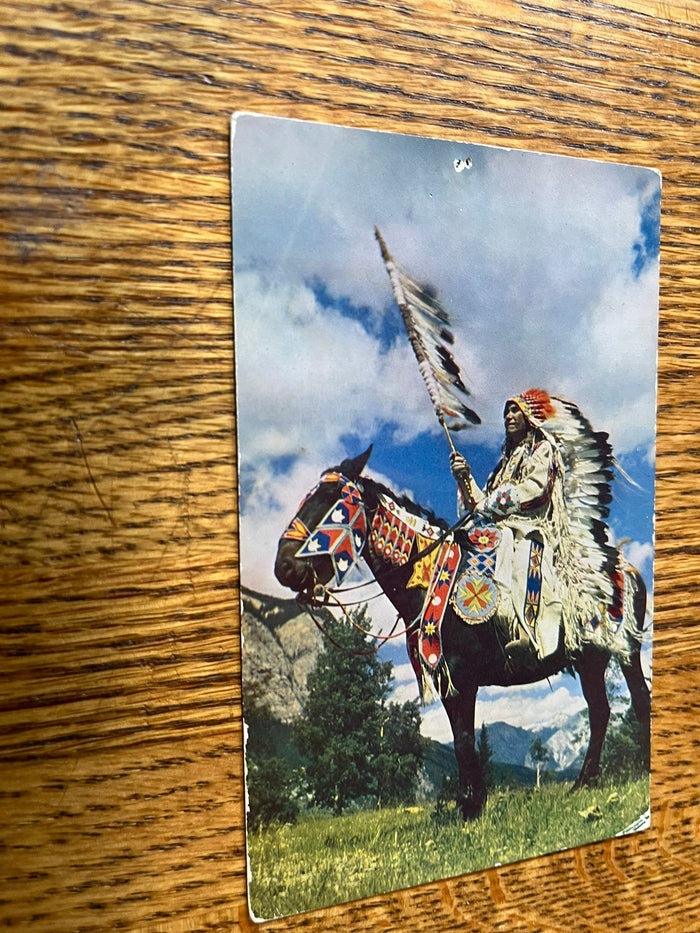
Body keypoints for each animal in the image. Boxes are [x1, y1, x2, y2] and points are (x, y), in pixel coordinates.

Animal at [274, 448, 652, 820]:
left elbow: (464, 739)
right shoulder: (448, 681)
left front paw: (471, 806)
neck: (432, 577)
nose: (283, 567)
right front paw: (469, 800)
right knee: (600, 710)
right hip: (592, 660)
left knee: (636, 699)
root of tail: (626, 566)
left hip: (624, 650)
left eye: (331, 499)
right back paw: (584, 782)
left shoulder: (462, 677)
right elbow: (460, 738)